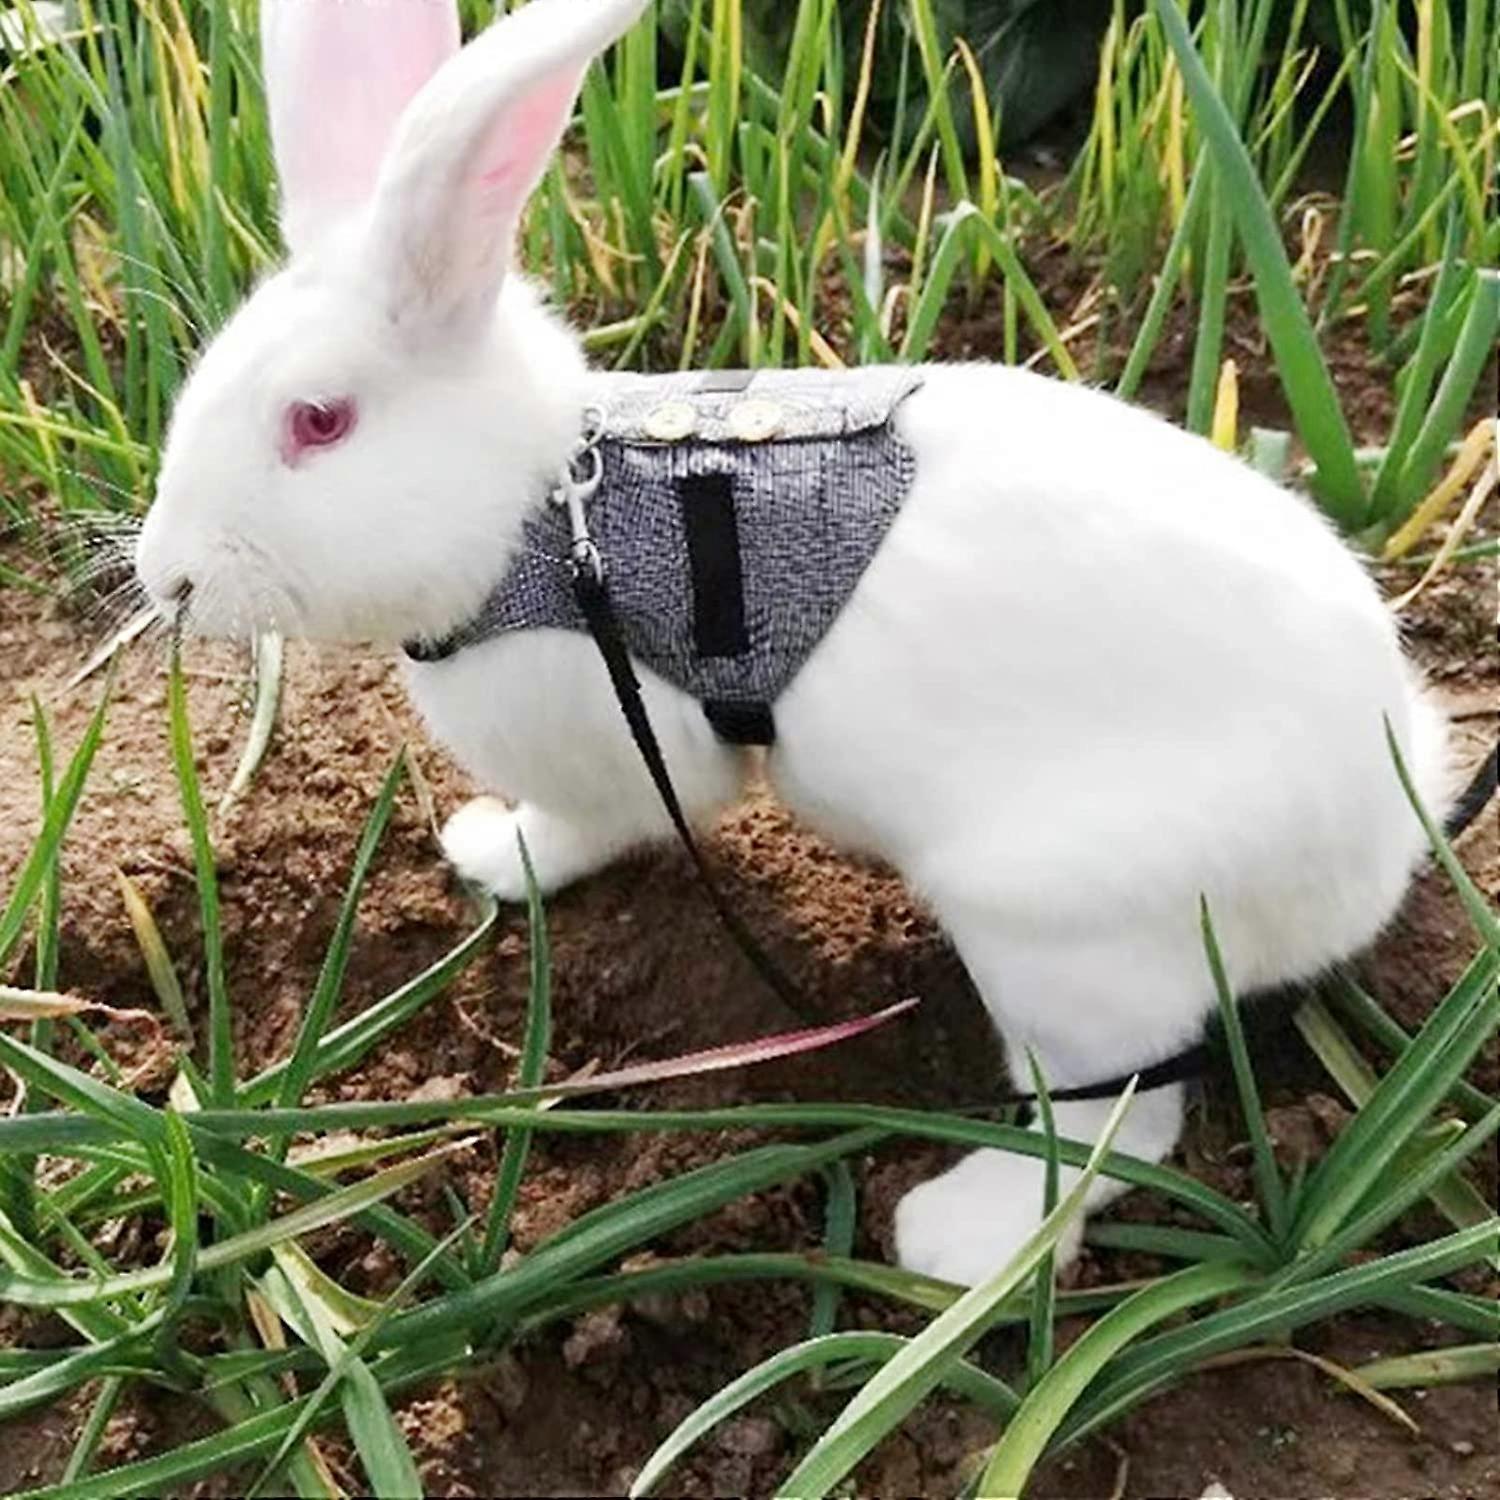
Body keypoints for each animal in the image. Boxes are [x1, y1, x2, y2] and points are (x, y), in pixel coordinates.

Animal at [134, 0, 1456, 1287]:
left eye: (318, 423)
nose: (166, 574)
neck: (537, 510)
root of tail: (1384, 834)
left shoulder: (622, 752)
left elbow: (583, 829)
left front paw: (494, 856)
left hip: (1061, 936)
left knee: (1112, 1122)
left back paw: (957, 1239)